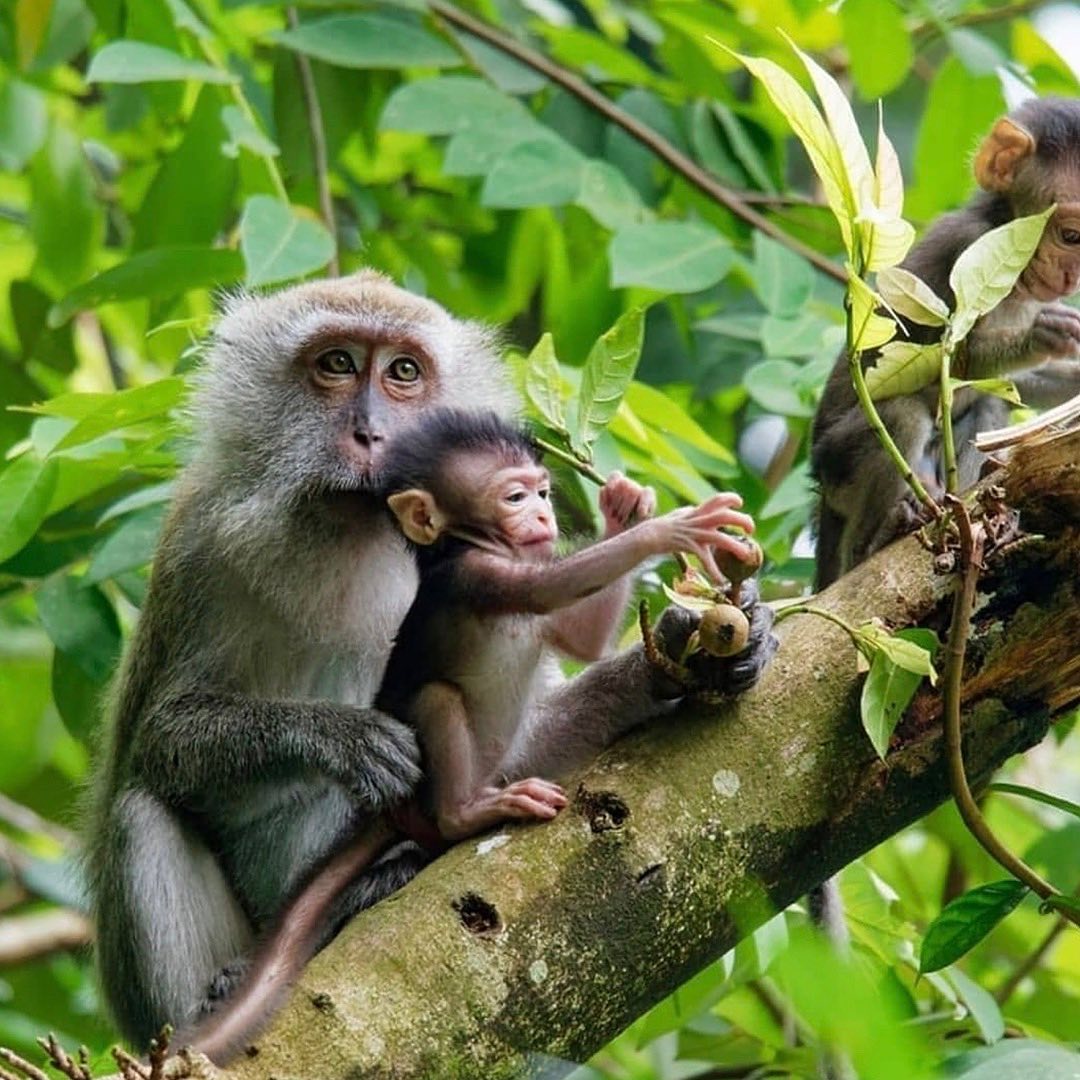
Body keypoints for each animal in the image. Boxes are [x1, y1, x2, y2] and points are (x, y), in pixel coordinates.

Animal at [84, 269, 777, 1063]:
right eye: (337, 364)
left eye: (404, 372)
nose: (371, 432)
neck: (354, 526)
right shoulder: (201, 545)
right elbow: (160, 738)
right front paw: (342, 737)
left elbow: (521, 740)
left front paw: (690, 648)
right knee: (140, 810)